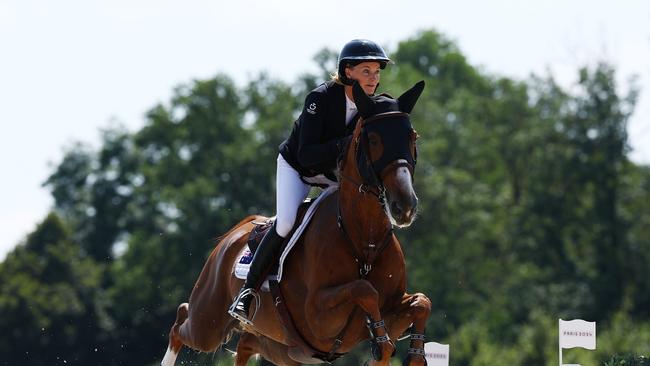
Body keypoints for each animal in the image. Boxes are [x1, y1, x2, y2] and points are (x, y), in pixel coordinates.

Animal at [159, 81, 430, 364]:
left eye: (412, 137)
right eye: (374, 140)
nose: (405, 206)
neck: (364, 242)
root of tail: (234, 236)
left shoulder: (391, 309)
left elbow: (422, 302)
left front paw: (409, 355)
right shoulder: (318, 317)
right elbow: (364, 289)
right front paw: (380, 344)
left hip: (283, 347)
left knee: (245, 344)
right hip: (208, 323)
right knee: (181, 321)